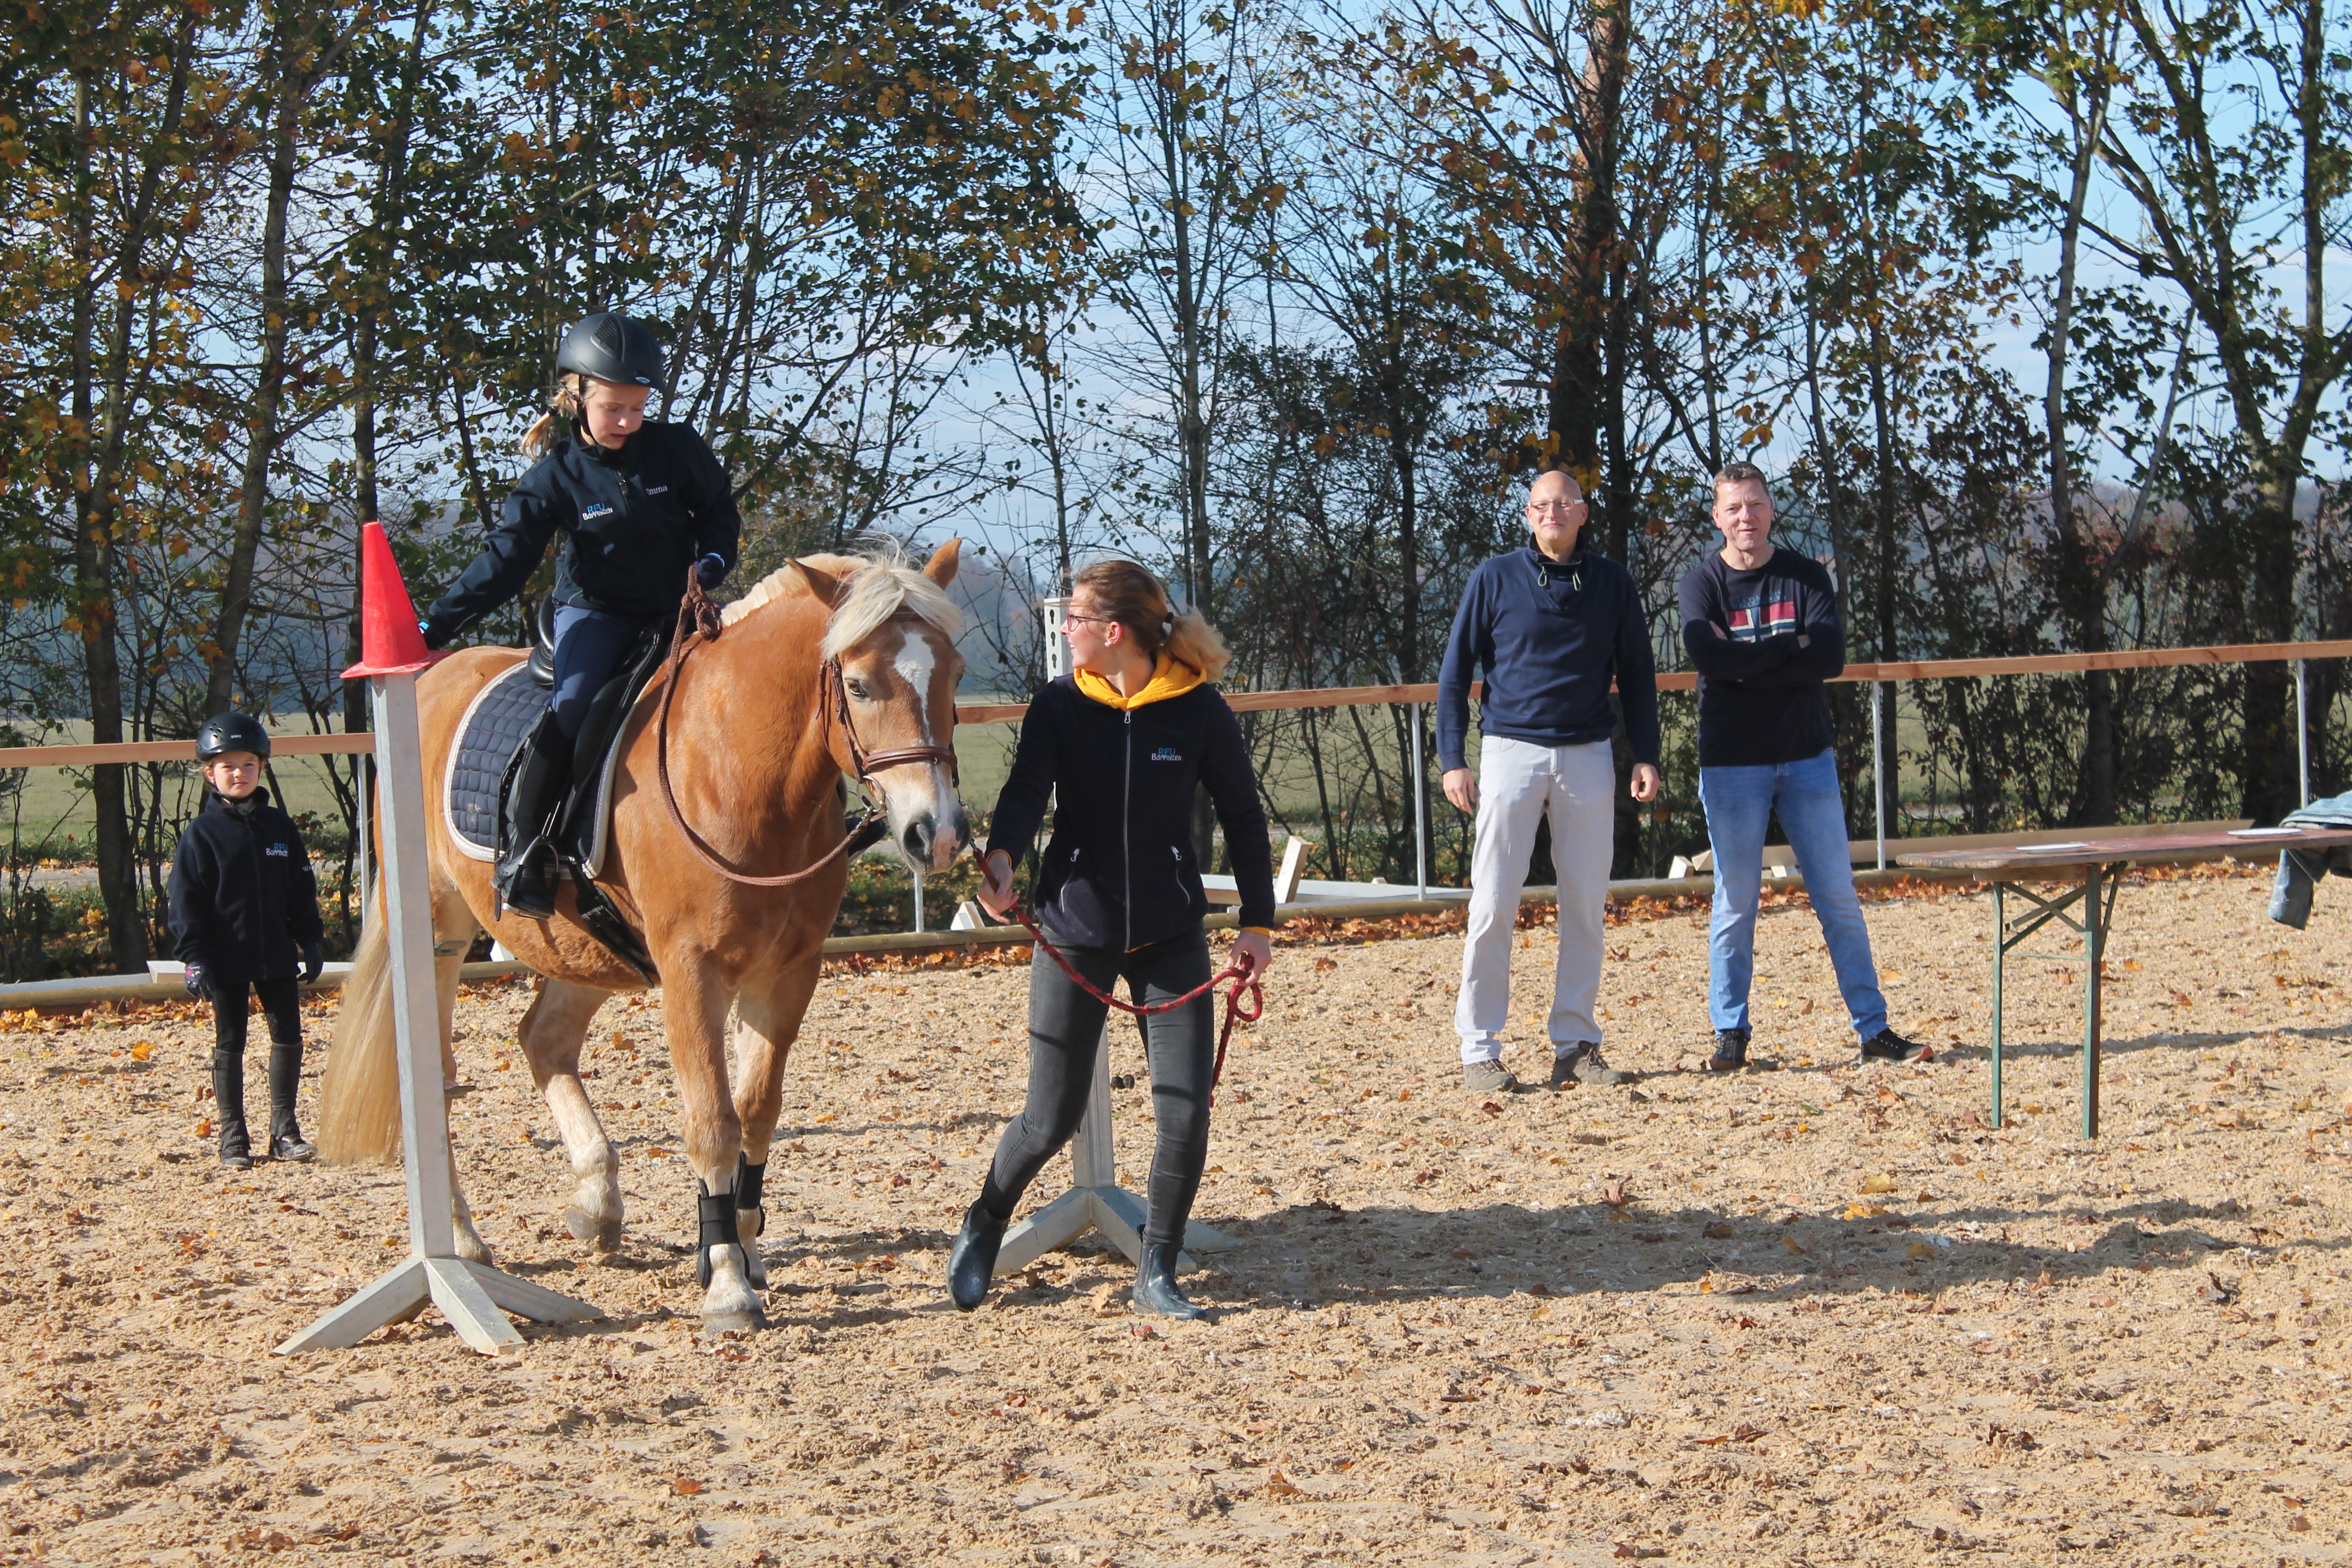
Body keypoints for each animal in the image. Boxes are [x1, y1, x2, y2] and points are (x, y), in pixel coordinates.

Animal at [317, 545, 969, 1335]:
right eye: (859, 684)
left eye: (955, 673)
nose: (936, 834)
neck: (740, 770)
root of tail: (434, 677)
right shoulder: (693, 972)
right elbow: (714, 1121)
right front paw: (727, 1286)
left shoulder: (787, 973)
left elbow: (757, 1110)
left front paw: (742, 1244)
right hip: (441, 936)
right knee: (437, 1079)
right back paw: (464, 1241)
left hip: (586, 948)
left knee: (544, 1039)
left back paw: (596, 1203)